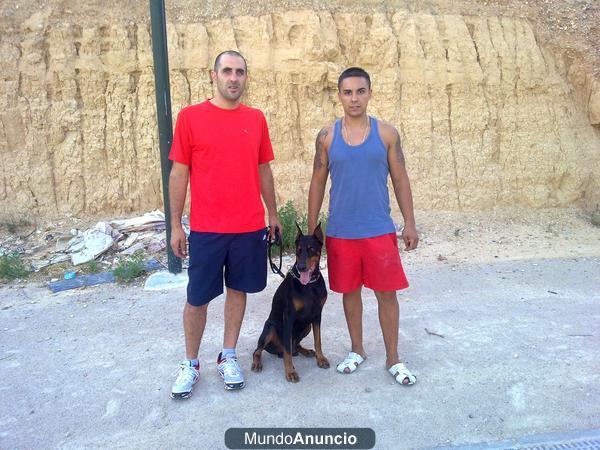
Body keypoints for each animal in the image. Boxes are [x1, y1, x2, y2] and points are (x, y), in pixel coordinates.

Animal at [251, 223, 330, 382]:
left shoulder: (317, 315)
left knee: (294, 346)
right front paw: (290, 372)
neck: (309, 285)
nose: (301, 267)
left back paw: (306, 351)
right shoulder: (288, 316)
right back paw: (257, 363)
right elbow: (287, 350)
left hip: (307, 326)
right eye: (298, 250)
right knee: (260, 350)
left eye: (311, 249)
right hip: (270, 327)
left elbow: (318, 340)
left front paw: (321, 358)